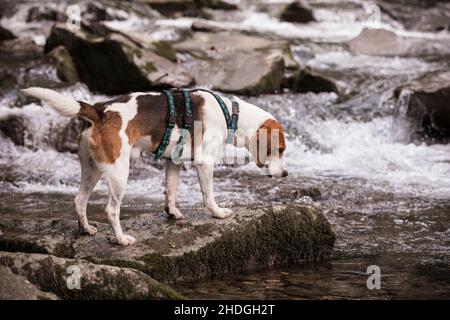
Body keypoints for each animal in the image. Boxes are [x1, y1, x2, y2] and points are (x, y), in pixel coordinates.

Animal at [21, 87, 286, 245]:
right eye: (281, 150)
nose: (284, 173)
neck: (230, 114)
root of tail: (100, 111)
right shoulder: (205, 163)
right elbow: (208, 195)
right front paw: (218, 213)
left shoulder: (173, 162)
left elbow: (171, 191)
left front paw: (172, 213)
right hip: (119, 173)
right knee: (111, 209)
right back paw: (121, 239)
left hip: (92, 169)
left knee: (79, 200)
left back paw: (86, 230)